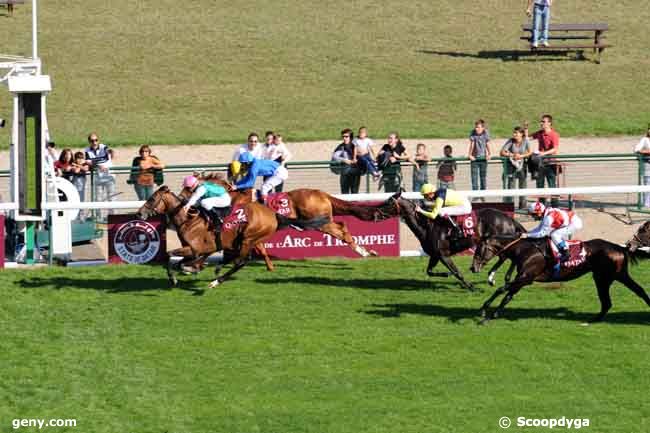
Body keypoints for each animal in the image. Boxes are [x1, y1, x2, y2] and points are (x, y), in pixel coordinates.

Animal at [139, 185, 326, 286]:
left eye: (152, 198)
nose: (140, 213)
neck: (188, 220)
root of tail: (273, 214)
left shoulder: (195, 248)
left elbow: (170, 256)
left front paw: (178, 276)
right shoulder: (195, 250)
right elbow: (178, 261)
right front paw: (188, 270)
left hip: (248, 238)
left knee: (242, 261)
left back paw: (216, 281)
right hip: (239, 241)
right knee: (236, 259)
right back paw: (217, 269)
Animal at [388, 192, 524, 290]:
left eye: (388, 203)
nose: (379, 214)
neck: (427, 226)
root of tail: (509, 219)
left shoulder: (443, 254)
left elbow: (457, 272)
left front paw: (471, 286)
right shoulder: (435, 255)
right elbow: (429, 271)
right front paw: (445, 274)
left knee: (505, 256)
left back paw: (494, 277)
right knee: (508, 257)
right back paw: (500, 278)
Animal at [468, 235, 648, 322]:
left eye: (479, 249)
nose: (472, 267)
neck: (525, 249)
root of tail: (619, 247)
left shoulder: (526, 277)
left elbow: (502, 289)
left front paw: (485, 311)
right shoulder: (523, 279)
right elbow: (507, 296)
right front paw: (490, 314)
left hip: (612, 276)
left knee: (629, 294)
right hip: (605, 277)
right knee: (614, 299)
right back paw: (595, 319)